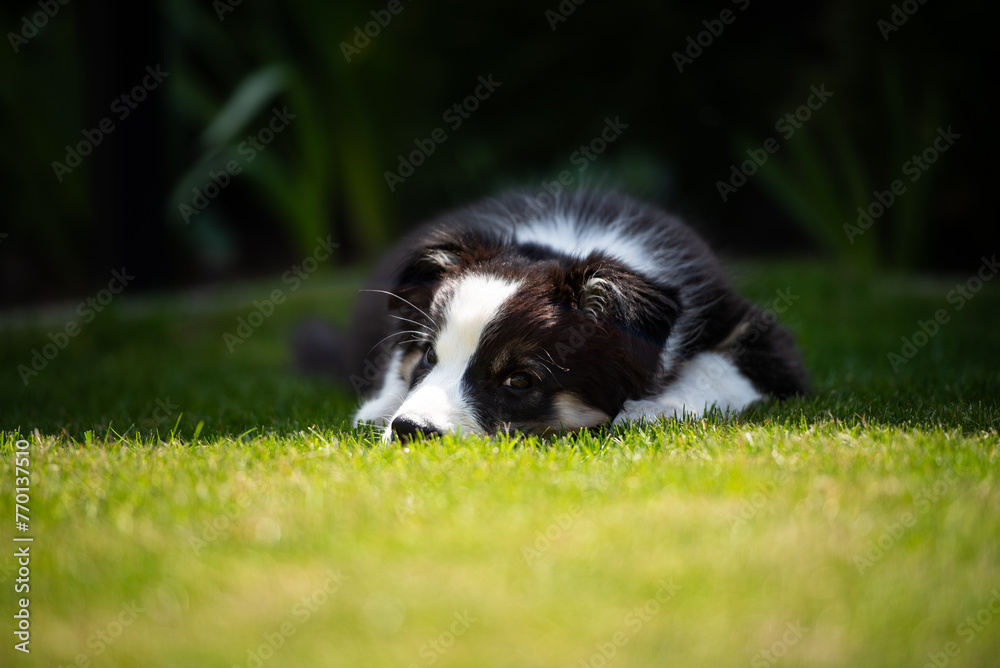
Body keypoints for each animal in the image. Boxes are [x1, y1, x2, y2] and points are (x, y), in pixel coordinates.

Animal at [294, 188, 804, 440]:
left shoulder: (761, 337)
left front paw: (652, 408)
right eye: (429, 358)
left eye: (519, 380)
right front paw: (381, 406)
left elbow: (716, 368)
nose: (410, 431)